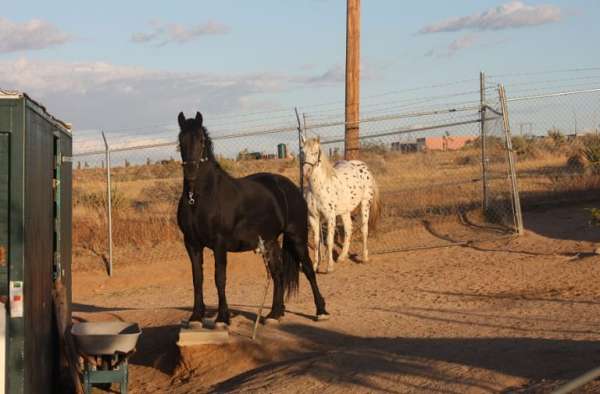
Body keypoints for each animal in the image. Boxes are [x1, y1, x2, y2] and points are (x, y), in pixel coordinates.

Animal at [176, 111, 330, 326]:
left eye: (201, 139)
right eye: (181, 140)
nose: (191, 173)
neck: (199, 198)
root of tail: (289, 187)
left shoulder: (219, 244)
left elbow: (219, 278)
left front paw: (222, 318)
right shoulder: (191, 244)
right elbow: (197, 279)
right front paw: (196, 316)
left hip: (297, 236)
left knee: (308, 269)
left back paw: (321, 311)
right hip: (270, 242)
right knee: (277, 273)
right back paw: (274, 313)